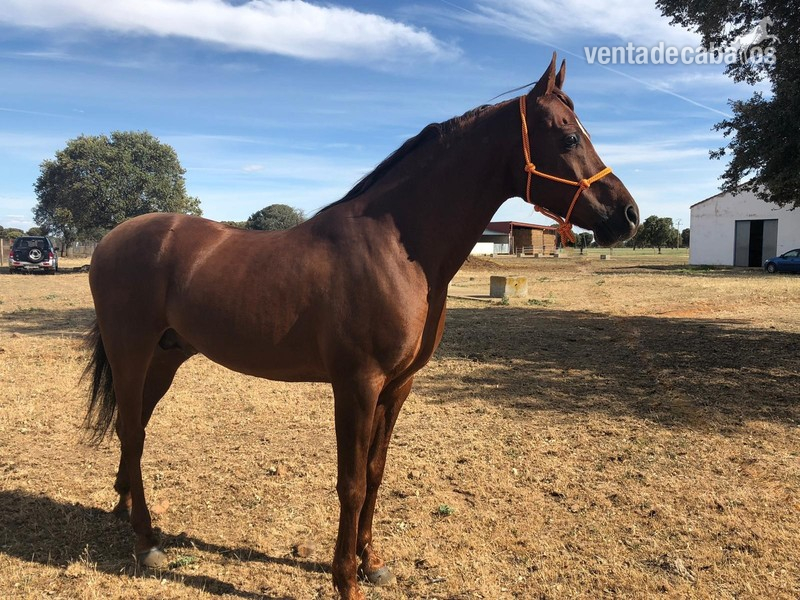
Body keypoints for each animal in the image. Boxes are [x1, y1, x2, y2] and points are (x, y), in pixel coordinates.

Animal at [83, 53, 639, 600]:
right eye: (569, 137)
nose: (628, 215)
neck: (397, 247)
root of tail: (111, 239)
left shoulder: (397, 386)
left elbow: (374, 473)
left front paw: (372, 563)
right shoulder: (357, 384)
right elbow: (348, 482)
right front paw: (345, 579)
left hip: (165, 357)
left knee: (134, 428)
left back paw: (127, 511)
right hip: (131, 353)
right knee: (132, 431)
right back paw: (146, 542)